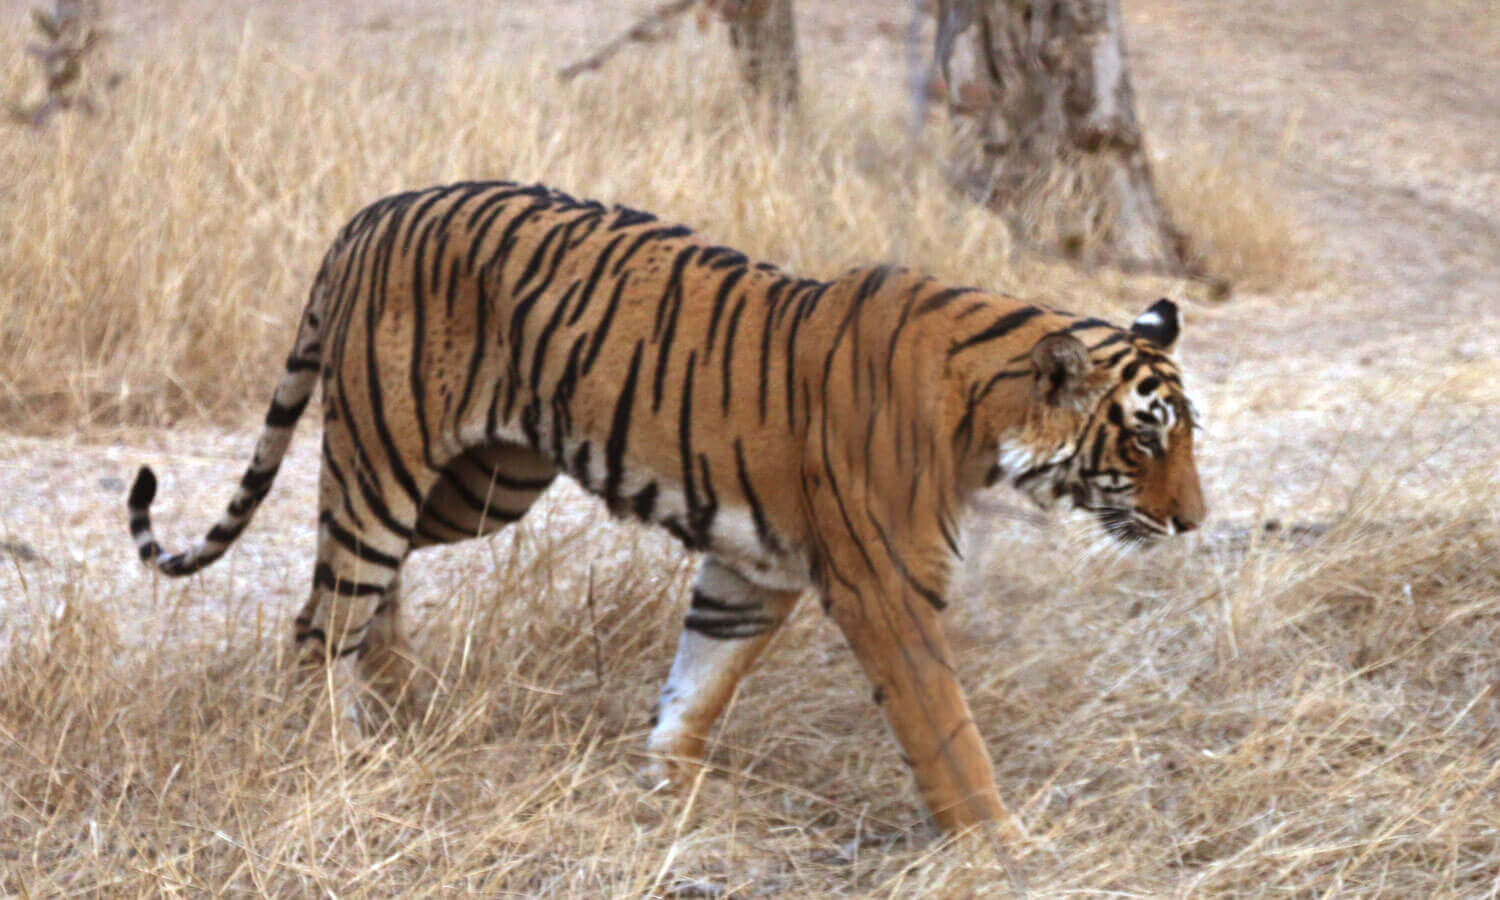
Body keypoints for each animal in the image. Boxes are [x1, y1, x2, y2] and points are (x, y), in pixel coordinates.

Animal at [126, 180, 1205, 835]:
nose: (1193, 522)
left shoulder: (754, 570)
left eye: (1185, 435)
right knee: (322, 615)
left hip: (479, 487)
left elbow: (701, 685)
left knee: (351, 591)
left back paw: (395, 702)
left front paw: (673, 789)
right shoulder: (887, 591)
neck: (985, 422)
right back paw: (337, 748)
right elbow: (948, 732)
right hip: (386, 461)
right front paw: (999, 842)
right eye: (1146, 439)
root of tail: (372, 210)